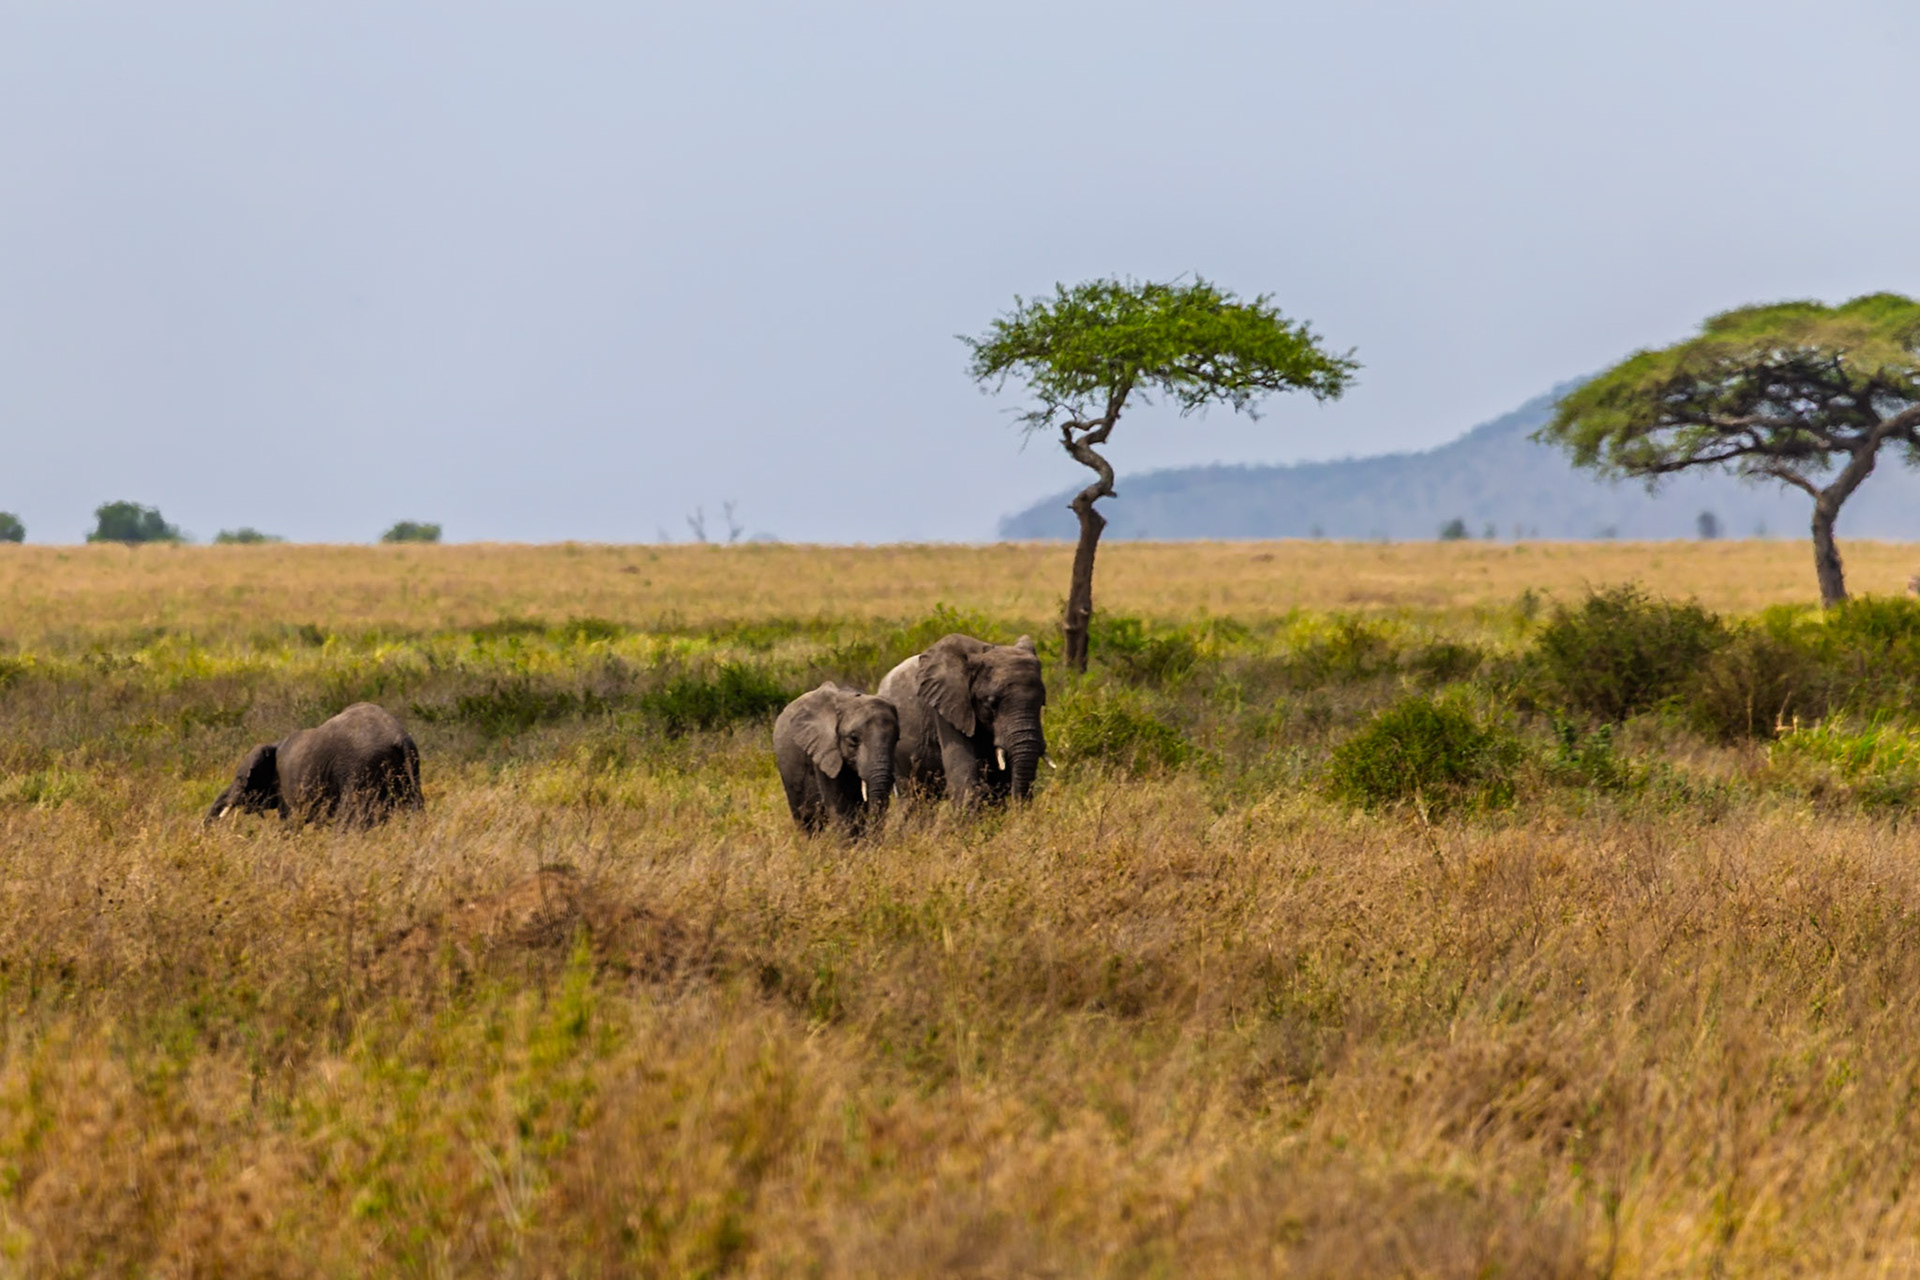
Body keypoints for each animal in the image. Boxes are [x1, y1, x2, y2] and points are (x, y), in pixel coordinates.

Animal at [206, 702, 423, 827]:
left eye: (239, 779)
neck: (274, 743)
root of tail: (399, 736)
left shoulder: (287, 784)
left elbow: (290, 822)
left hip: (361, 769)